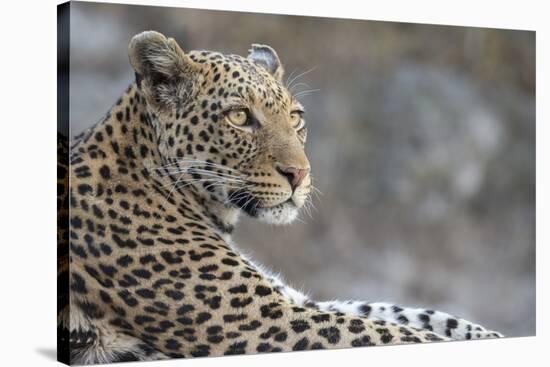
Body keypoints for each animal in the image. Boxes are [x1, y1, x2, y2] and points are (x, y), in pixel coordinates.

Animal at [61, 31, 504, 366]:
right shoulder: (268, 320)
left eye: (295, 117)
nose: (300, 174)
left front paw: (488, 335)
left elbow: (406, 314)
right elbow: (392, 331)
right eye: (239, 117)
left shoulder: (288, 299)